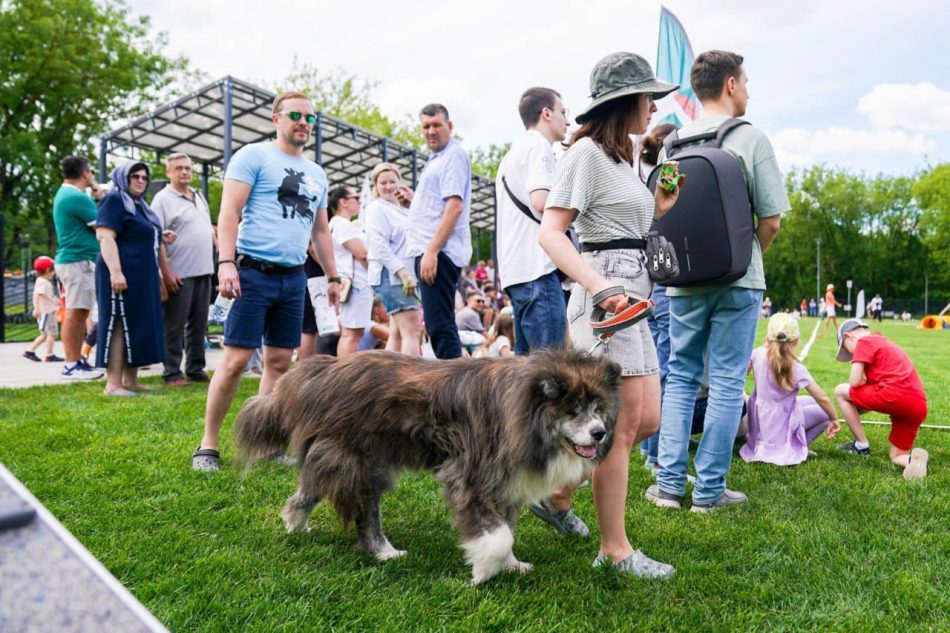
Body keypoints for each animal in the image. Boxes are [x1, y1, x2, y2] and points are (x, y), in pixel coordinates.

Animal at [236, 350, 624, 584]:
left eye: (598, 407)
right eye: (572, 410)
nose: (600, 432)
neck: (522, 410)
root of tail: (321, 370)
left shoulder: (508, 484)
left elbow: (507, 531)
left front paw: (511, 565)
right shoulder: (472, 478)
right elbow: (497, 536)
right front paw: (483, 573)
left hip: (338, 458)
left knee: (308, 489)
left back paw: (295, 526)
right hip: (362, 466)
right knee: (365, 515)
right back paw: (384, 552)